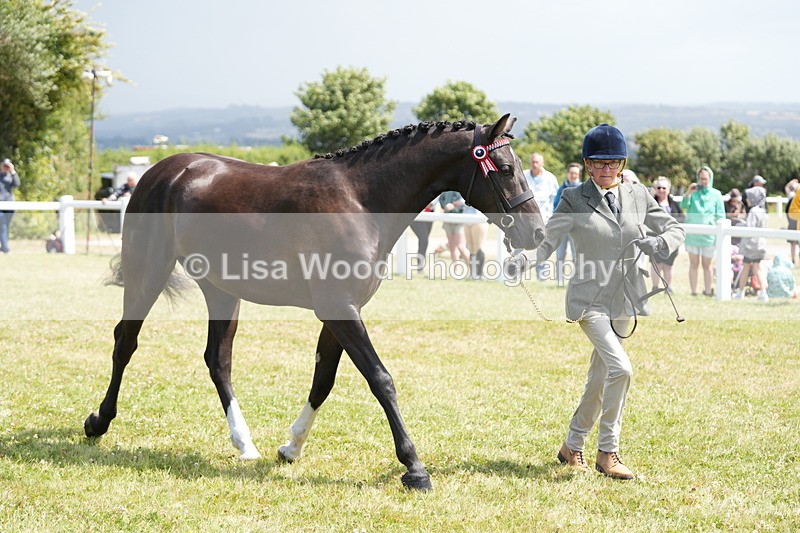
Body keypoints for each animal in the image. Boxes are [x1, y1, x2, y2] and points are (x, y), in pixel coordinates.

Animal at [84, 114, 545, 490]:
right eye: (506, 168)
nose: (537, 233)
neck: (361, 200)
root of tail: (163, 171)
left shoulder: (341, 311)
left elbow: (323, 380)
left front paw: (291, 447)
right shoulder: (340, 309)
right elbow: (381, 379)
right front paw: (414, 468)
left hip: (221, 291)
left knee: (218, 359)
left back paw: (244, 443)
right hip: (148, 273)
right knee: (125, 341)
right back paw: (98, 421)